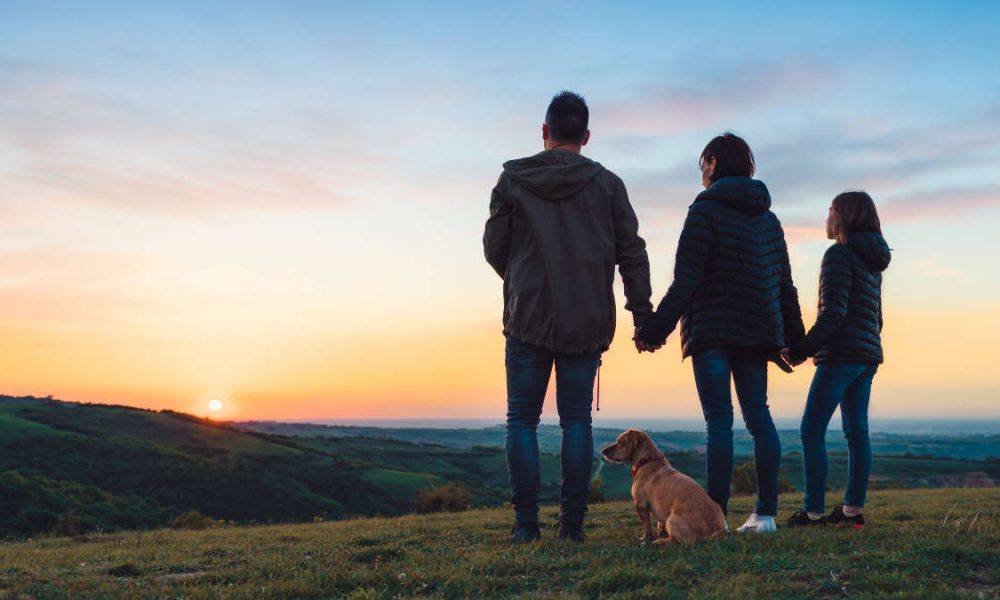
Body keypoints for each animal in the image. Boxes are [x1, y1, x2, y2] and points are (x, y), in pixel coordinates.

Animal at [600, 426, 728, 544]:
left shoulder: (640, 505)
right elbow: (659, 523)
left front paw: (645, 539)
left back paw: (660, 541)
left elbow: (647, 526)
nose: (602, 451)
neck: (647, 460)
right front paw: (660, 533)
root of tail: (716, 530)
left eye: (620, 443)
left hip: (672, 520)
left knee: (679, 541)